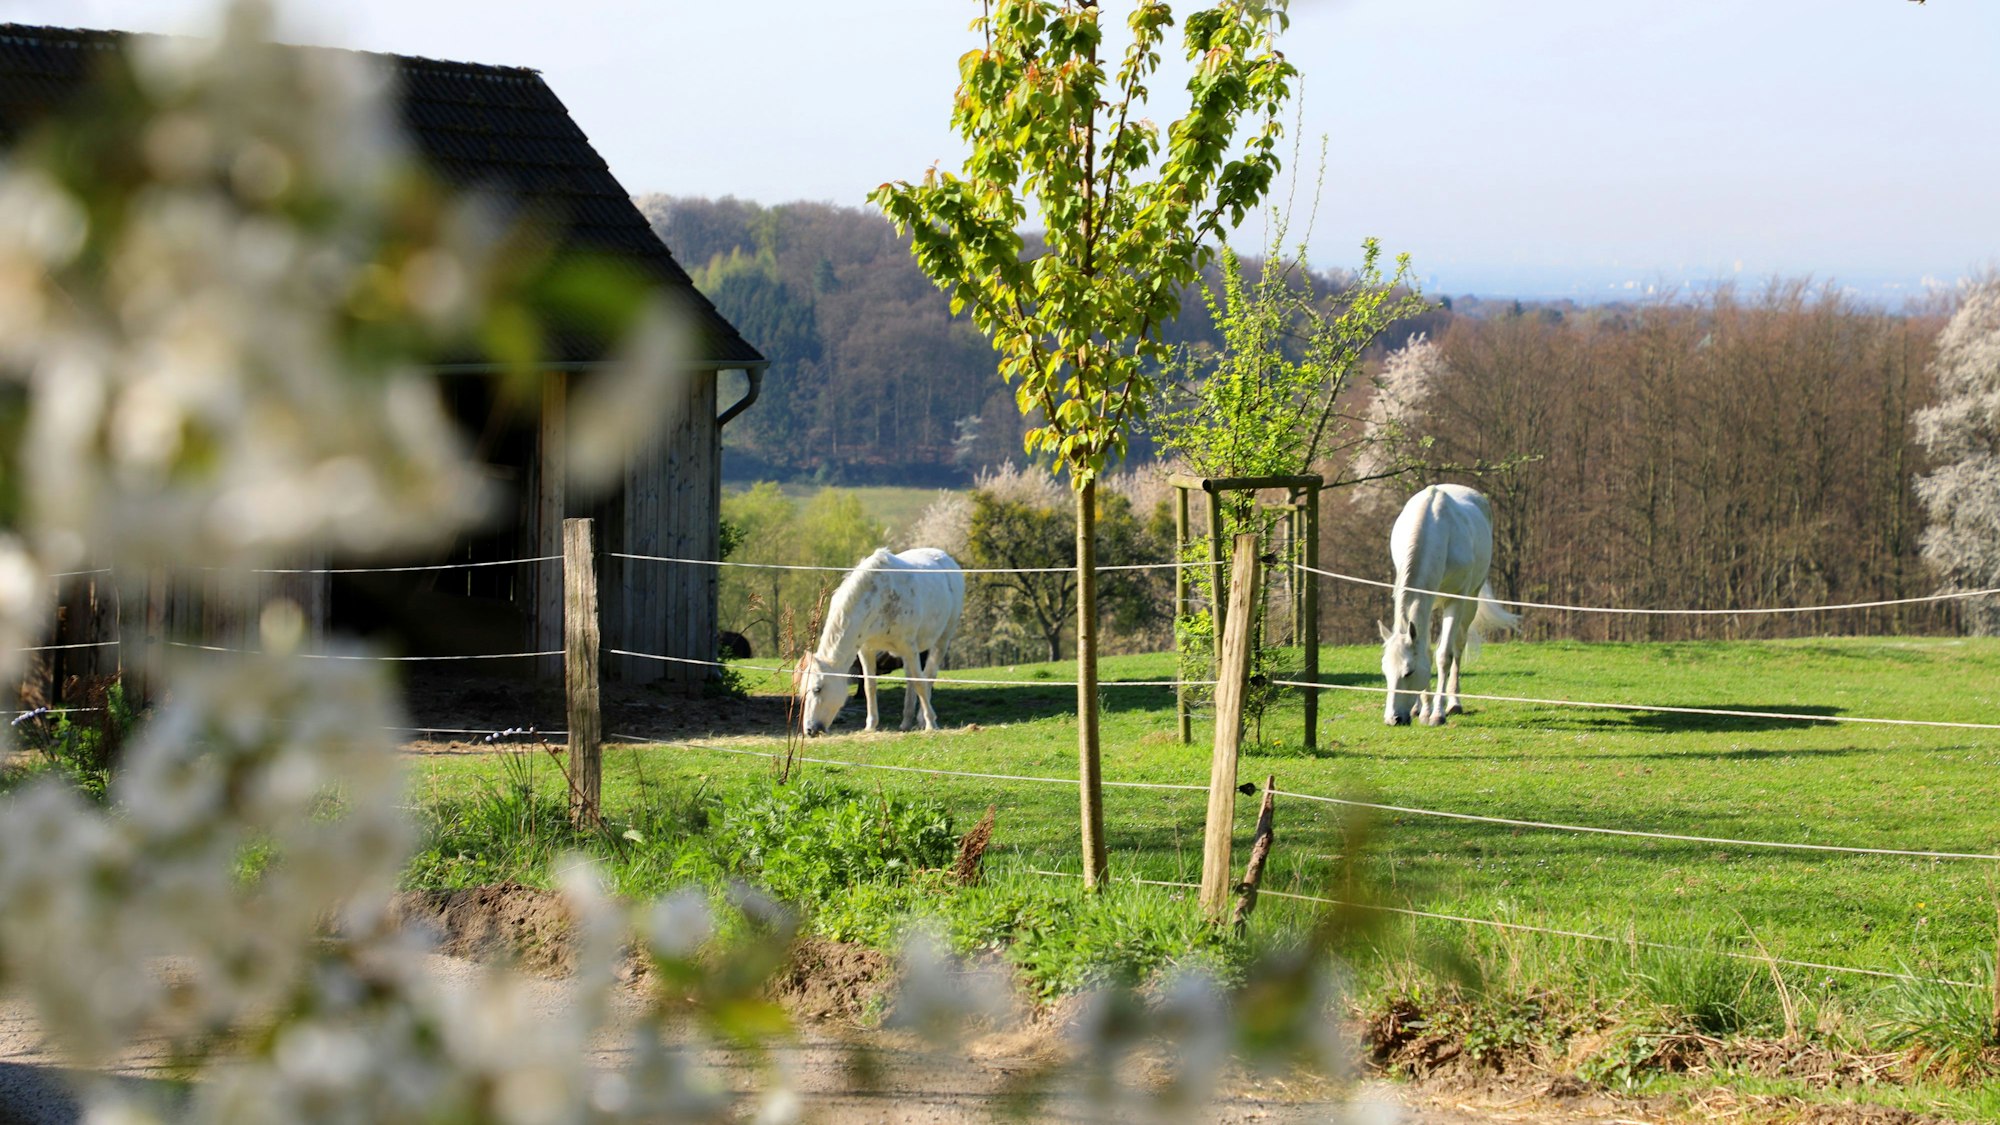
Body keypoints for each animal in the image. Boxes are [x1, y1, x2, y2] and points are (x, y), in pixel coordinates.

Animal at [795, 547, 965, 736]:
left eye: (817, 689)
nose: (809, 729)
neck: (878, 599)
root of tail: (946, 557)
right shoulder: (866, 650)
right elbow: (869, 686)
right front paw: (870, 726)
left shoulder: (909, 647)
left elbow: (920, 683)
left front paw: (930, 724)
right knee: (910, 679)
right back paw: (906, 722)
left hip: (941, 641)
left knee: (928, 675)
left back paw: (922, 718)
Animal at [1380, 484, 1520, 726]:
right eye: (1386, 671)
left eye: (1408, 672)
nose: (1393, 719)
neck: (1437, 533)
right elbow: (1426, 652)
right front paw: (1423, 709)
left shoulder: (1456, 600)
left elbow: (1444, 656)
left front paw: (1437, 713)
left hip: (1470, 602)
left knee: (1458, 647)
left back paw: (1454, 703)